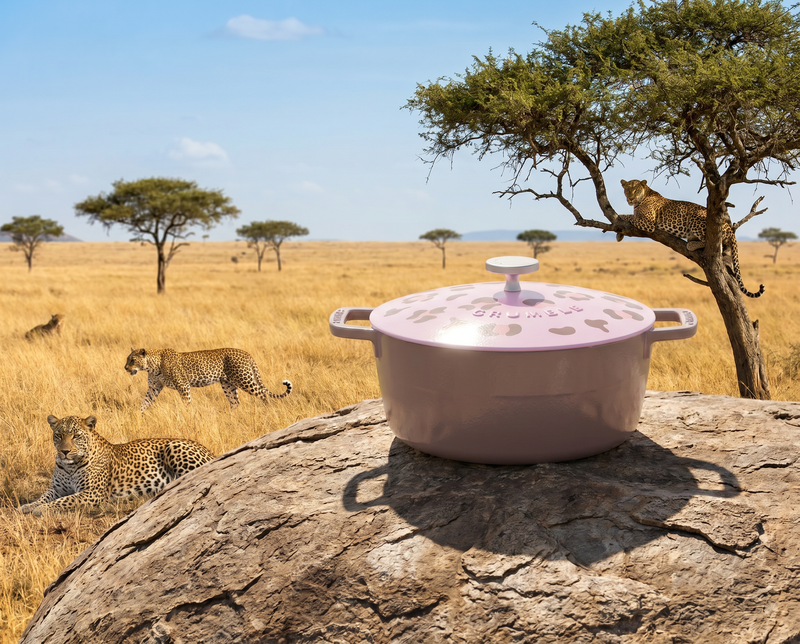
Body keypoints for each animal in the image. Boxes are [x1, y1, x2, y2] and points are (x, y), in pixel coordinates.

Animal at [17, 414, 213, 515]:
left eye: (76, 436)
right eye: (58, 435)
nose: (64, 451)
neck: (70, 466)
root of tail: (209, 450)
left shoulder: (92, 493)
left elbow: (65, 501)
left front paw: (42, 509)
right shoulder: (57, 488)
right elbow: (44, 496)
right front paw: (27, 506)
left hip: (174, 446)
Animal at [125, 347, 293, 412]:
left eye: (132, 360)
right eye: (128, 359)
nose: (125, 368)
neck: (152, 366)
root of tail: (246, 352)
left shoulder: (183, 385)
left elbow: (186, 402)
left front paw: (187, 415)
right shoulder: (154, 387)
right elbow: (145, 402)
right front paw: (138, 416)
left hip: (244, 379)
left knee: (262, 394)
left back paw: (267, 410)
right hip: (228, 384)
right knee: (235, 402)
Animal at [619, 179, 764, 298]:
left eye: (636, 190)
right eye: (627, 190)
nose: (630, 199)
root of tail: (727, 224)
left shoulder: (648, 223)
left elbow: (628, 216)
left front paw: (619, 220)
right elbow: (630, 217)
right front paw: (619, 235)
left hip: (696, 218)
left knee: (716, 244)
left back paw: (691, 245)